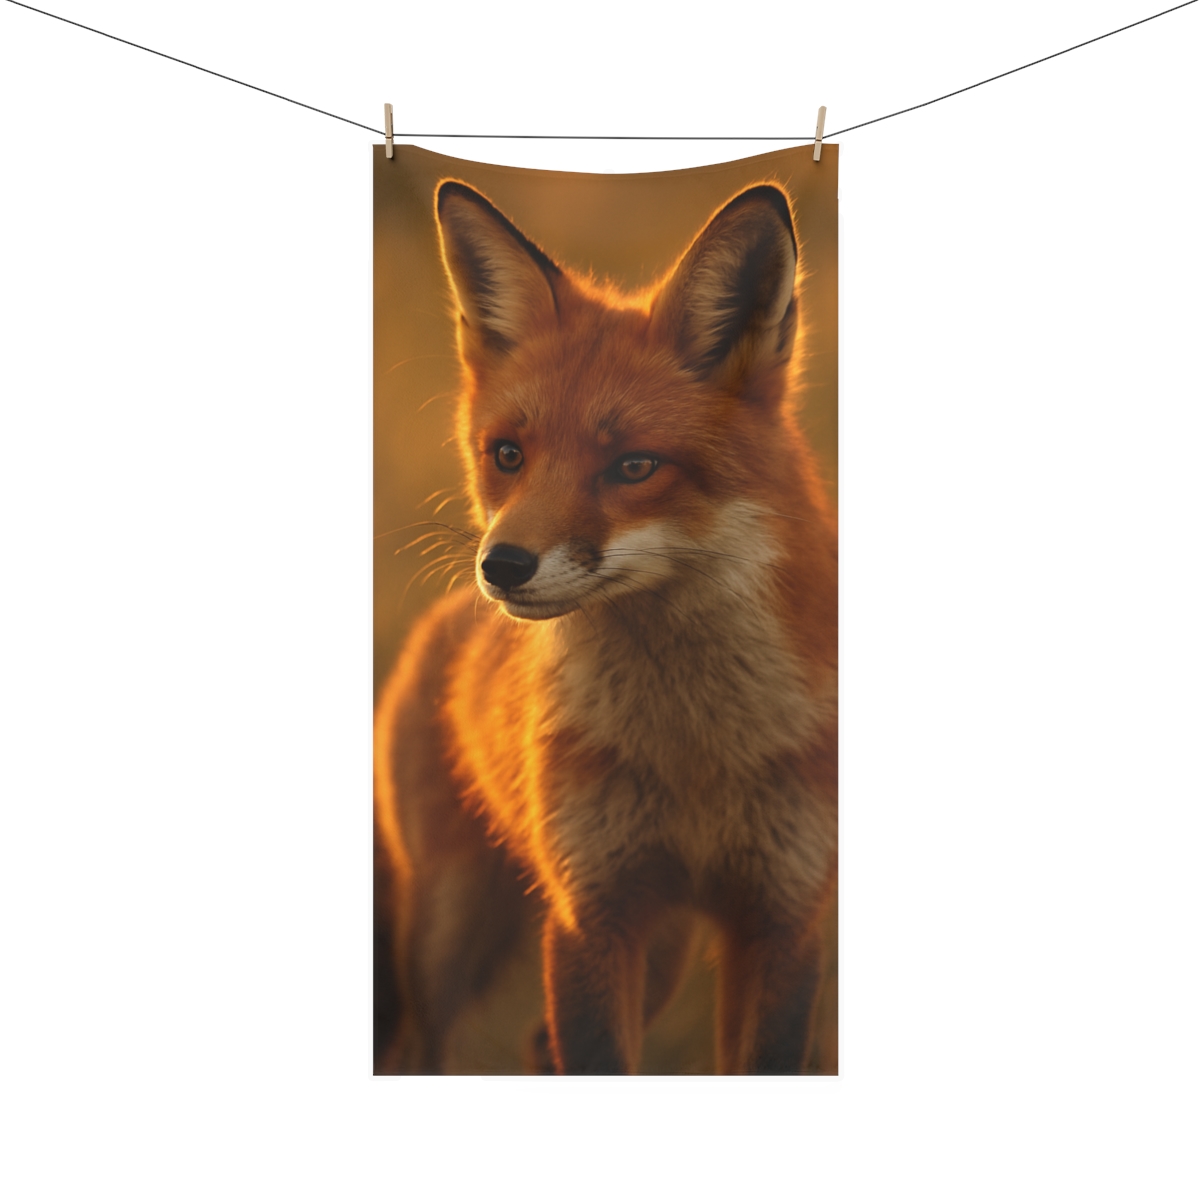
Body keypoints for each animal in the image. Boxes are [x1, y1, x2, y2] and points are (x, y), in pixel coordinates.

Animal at [374, 177, 837, 1074]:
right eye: (508, 454)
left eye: (633, 466)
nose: (502, 566)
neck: (694, 750)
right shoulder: (590, 911)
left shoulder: (783, 916)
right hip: (447, 939)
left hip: (661, 952)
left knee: (535, 1042)